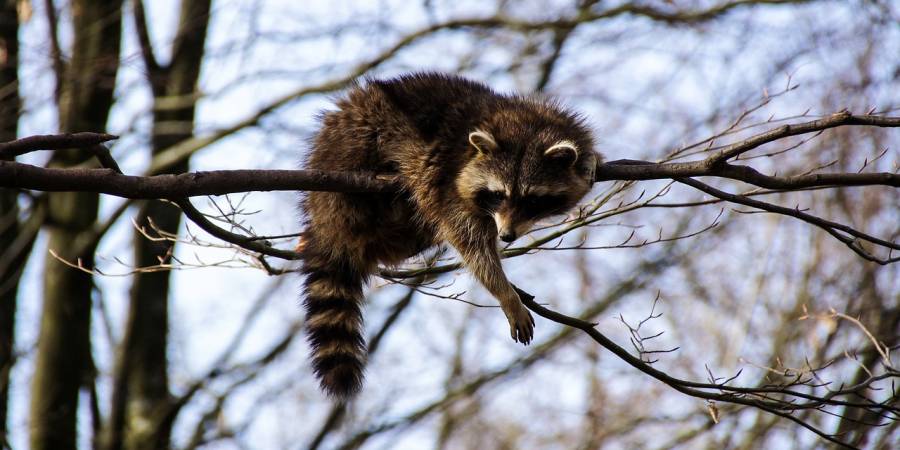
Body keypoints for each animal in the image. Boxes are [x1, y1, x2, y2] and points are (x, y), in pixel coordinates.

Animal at [298, 71, 600, 398]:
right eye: (498, 194)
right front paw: (505, 292)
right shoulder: (446, 178)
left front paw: (593, 160)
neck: (525, 126)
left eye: (532, 200)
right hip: (351, 143)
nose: (507, 236)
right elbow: (469, 241)